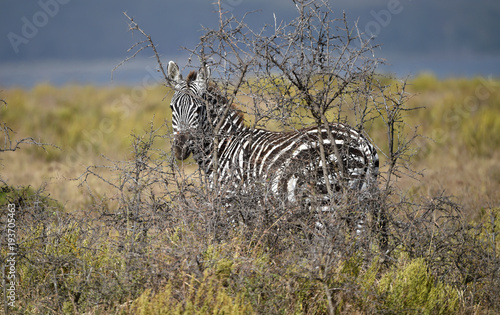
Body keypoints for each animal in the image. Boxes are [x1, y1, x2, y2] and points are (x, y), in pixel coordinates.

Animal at [166, 61, 380, 230]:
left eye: (199, 109)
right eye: (172, 108)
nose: (180, 149)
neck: (224, 148)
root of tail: (361, 140)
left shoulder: (231, 201)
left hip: (323, 198)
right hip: (363, 199)